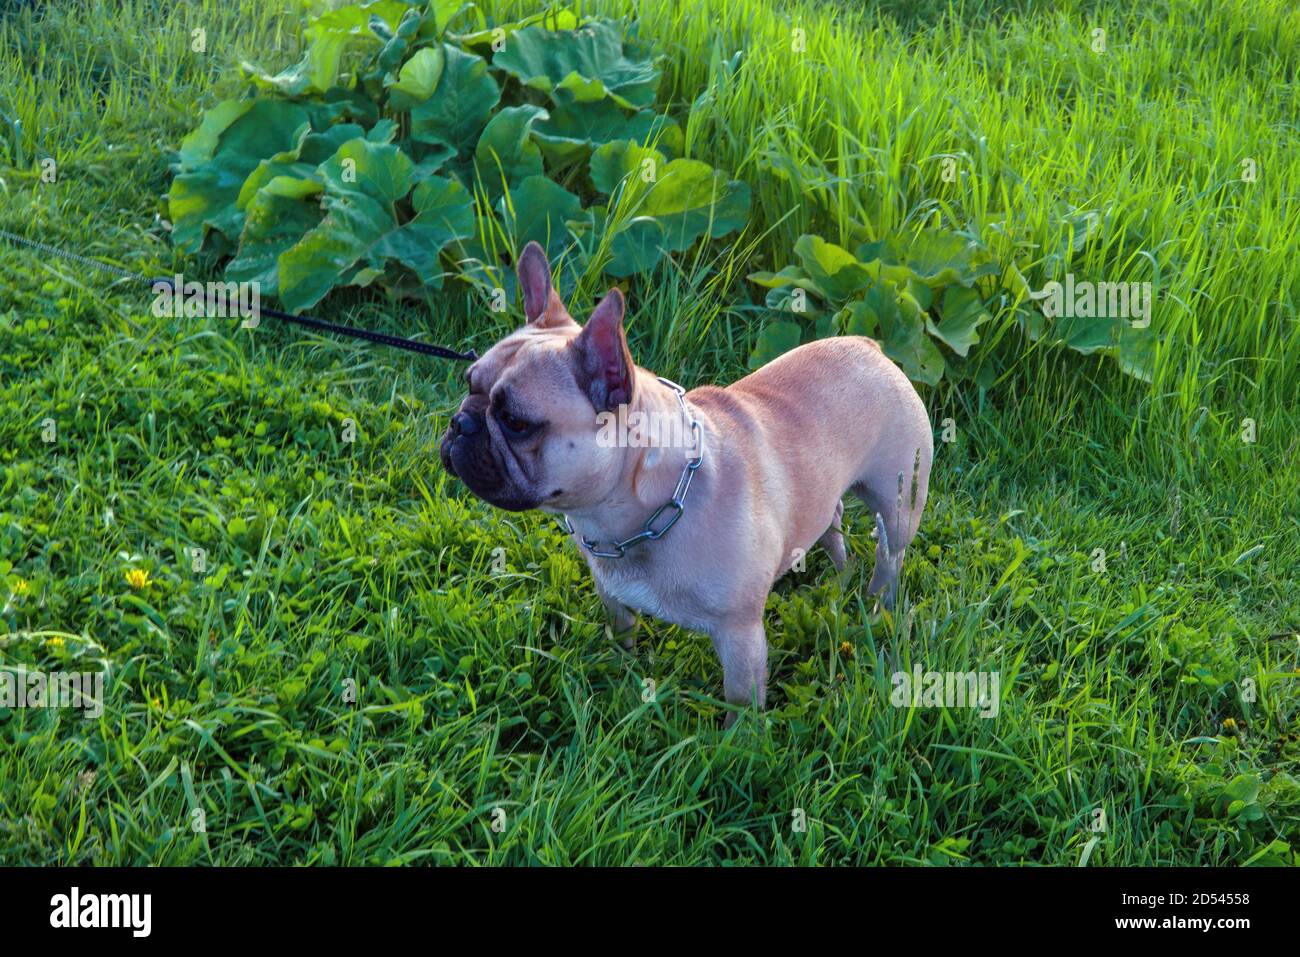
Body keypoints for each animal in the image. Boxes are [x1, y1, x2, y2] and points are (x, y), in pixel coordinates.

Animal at [441, 243, 930, 722]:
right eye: (467, 382)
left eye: (515, 422)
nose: (460, 422)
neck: (646, 509)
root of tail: (869, 346)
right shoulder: (613, 595)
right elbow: (623, 635)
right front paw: (623, 671)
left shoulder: (739, 635)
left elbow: (740, 703)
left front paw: (740, 739)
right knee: (833, 515)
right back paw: (840, 571)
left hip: (899, 500)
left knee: (891, 551)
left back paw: (878, 603)